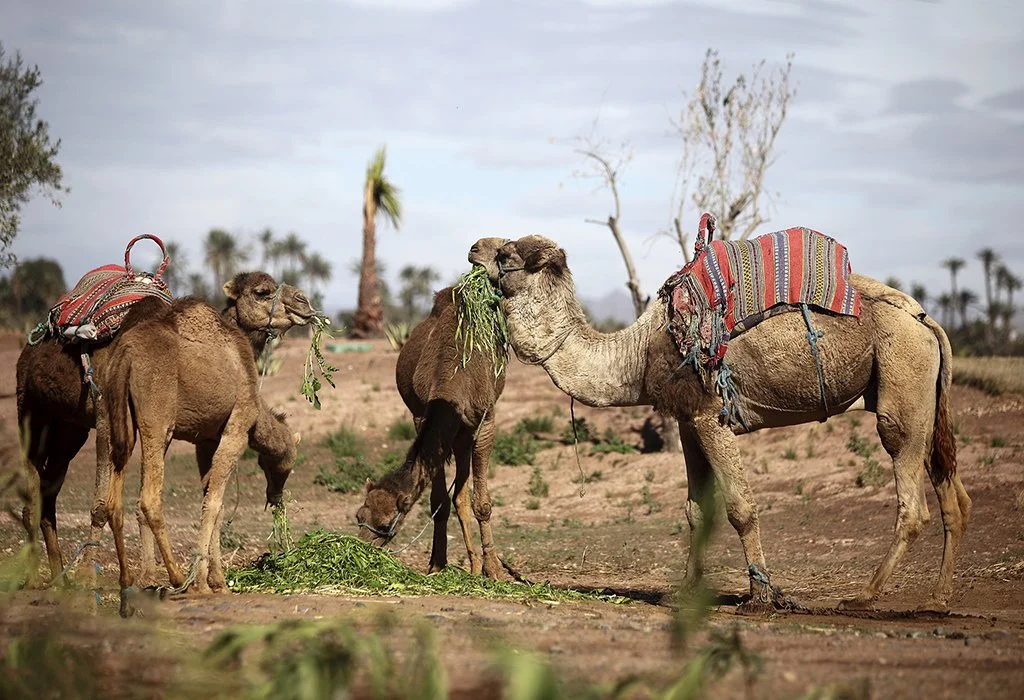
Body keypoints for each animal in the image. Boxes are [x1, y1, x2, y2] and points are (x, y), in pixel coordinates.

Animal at [102, 272, 313, 611]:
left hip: (117, 419)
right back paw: (178, 579)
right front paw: (207, 582)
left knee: (115, 499)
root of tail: (125, 353)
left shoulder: (206, 439)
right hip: (157, 418)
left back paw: (128, 586)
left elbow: (210, 498)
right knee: (149, 499)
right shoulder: (237, 425)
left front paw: (215, 580)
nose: (304, 302)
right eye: (262, 292)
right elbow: (214, 503)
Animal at [356, 237, 506, 578]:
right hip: (456, 434)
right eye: (359, 516)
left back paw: (480, 565)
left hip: (467, 431)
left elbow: (482, 503)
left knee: (465, 493)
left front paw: (494, 570)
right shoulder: (423, 416)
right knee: (458, 495)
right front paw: (438, 564)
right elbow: (440, 500)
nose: (361, 548)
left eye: (384, 523)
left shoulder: (486, 422)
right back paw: (472, 564)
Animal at [482, 235, 972, 611]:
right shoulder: (686, 421)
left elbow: (740, 507)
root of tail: (925, 320)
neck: (638, 353)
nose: (473, 249)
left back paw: (863, 596)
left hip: (901, 380)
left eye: (507, 256)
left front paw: (760, 598)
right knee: (953, 492)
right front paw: (682, 593)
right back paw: (938, 599)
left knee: (912, 496)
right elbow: (695, 509)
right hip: (923, 397)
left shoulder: (710, 414)